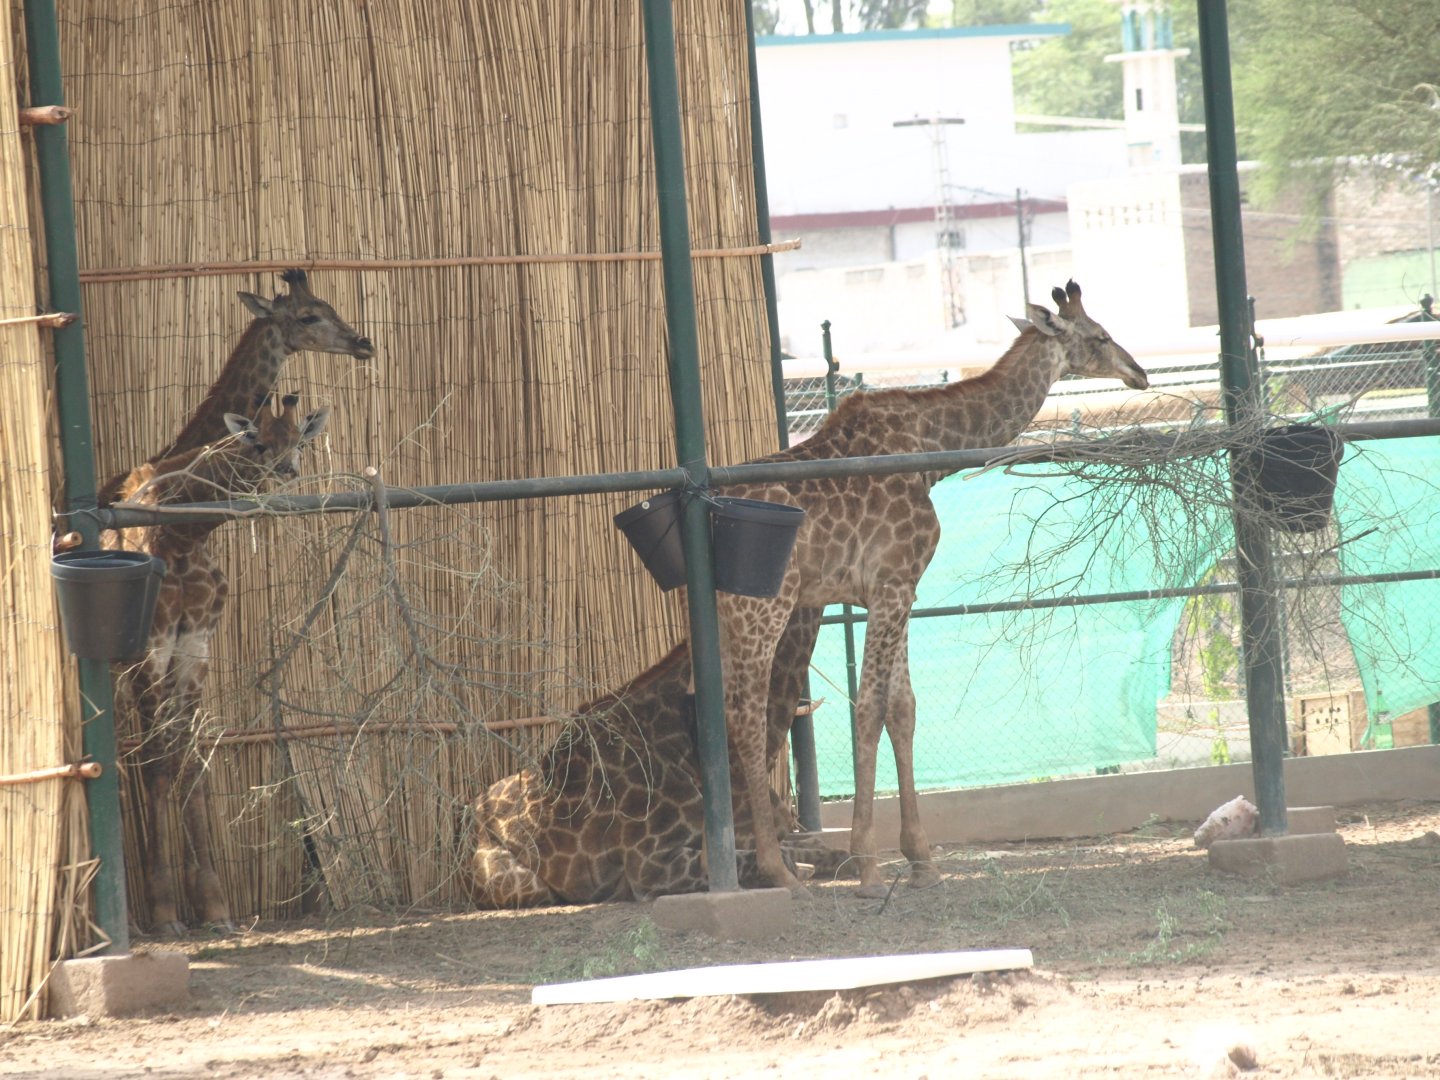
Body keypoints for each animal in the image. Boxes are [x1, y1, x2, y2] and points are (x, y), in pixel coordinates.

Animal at [107, 394, 331, 936]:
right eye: (258, 442)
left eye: (299, 441)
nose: (287, 470)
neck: (182, 536)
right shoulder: (151, 650)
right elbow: (156, 764)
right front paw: (165, 911)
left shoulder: (195, 649)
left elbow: (191, 762)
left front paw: (214, 904)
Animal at [714, 280, 1149, 898]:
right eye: (1101, 336)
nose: (1140, 373)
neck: (931, 452)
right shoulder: (893, 583)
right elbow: (869, 708)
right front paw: (869, 866)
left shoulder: (895, 592)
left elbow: (903, 708)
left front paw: (921, 858)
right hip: (763, 611)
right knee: (749, 715)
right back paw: (780, 873)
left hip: (727, 616)